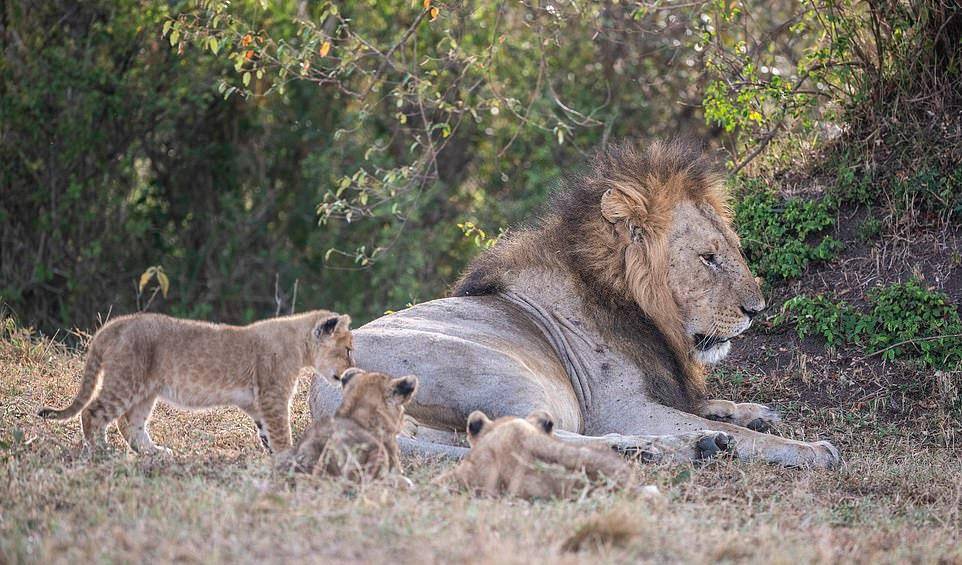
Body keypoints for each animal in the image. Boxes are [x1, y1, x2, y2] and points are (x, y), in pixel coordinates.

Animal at [310, 141, 840, 468]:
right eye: (708, 258)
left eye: (732, 249)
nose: (757, 309)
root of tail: (319, 402)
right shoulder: (619, 407)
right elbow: (746, 436)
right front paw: (810, 449)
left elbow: (715, 405)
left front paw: (752, 412)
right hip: (501, 373)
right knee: (516, 431)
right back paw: (673, 446)